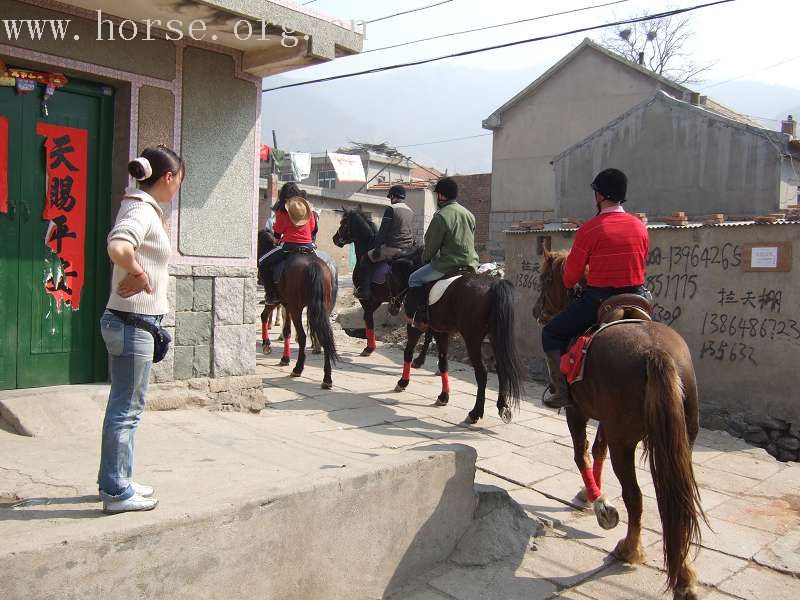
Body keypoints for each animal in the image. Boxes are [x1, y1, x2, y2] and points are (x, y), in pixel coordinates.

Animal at [330, 209, 432, 364]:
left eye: (343, 223)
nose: (335, 238)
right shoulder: (377, 300)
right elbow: (368, 318)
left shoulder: (366, 299)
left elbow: (368, 319)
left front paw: (369, 348)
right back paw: (422, 360)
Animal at [396, 274, 520, 424]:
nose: (392, 308)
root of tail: (493, 285)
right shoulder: (441, 332)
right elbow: (443, 363)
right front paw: (443, 396)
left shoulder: (414, 326)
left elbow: (408, 352)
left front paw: (403, 382)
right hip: (495, 336)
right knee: (501, 368)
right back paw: (503, 407)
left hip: (472, 339)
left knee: (482, 373)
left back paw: (475, 413)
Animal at [536, 248, 704, 600]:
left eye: (545, 278)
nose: (536, 311)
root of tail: (656, 353)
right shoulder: (607, 421)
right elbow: (597, 450)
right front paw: (590, 494)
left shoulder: (577, 411)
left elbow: (582, 454)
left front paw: (600, 505)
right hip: (680, 440)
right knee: (676, 501)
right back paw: (684, 576)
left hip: (625, 443)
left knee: (636, 497)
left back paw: (629, 549)